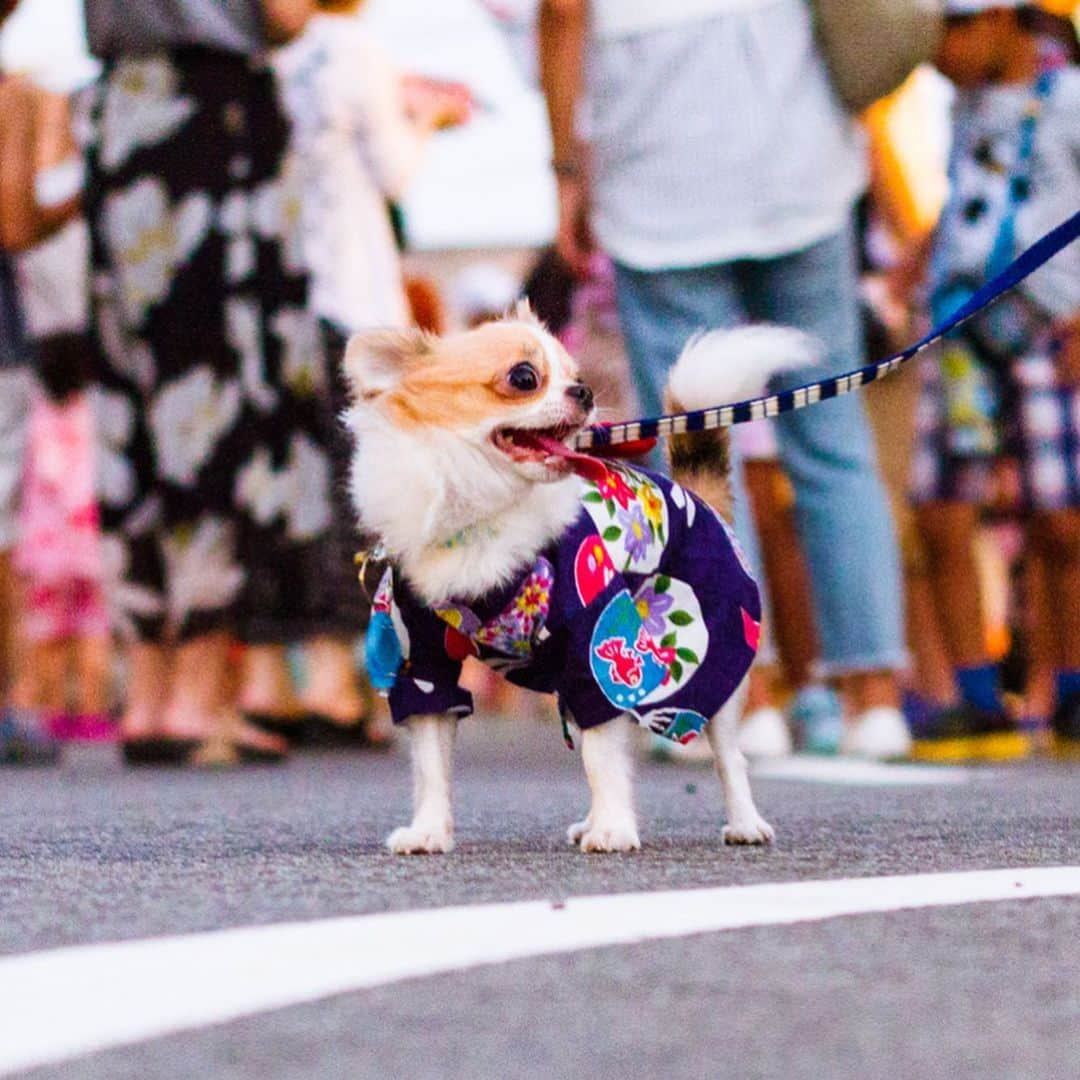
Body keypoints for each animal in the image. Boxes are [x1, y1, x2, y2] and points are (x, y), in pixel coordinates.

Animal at [343, 308, 812, 855]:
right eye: (524, 377)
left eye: (576, 373)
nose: (584, 391)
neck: (486, 515)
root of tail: (699, 498)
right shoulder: (420, 658)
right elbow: (432, 763)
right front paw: (428, 831)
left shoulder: (597, 640)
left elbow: (601, 756)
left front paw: (613, 828)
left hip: (705, 648)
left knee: (725, 753)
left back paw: (744, 823)